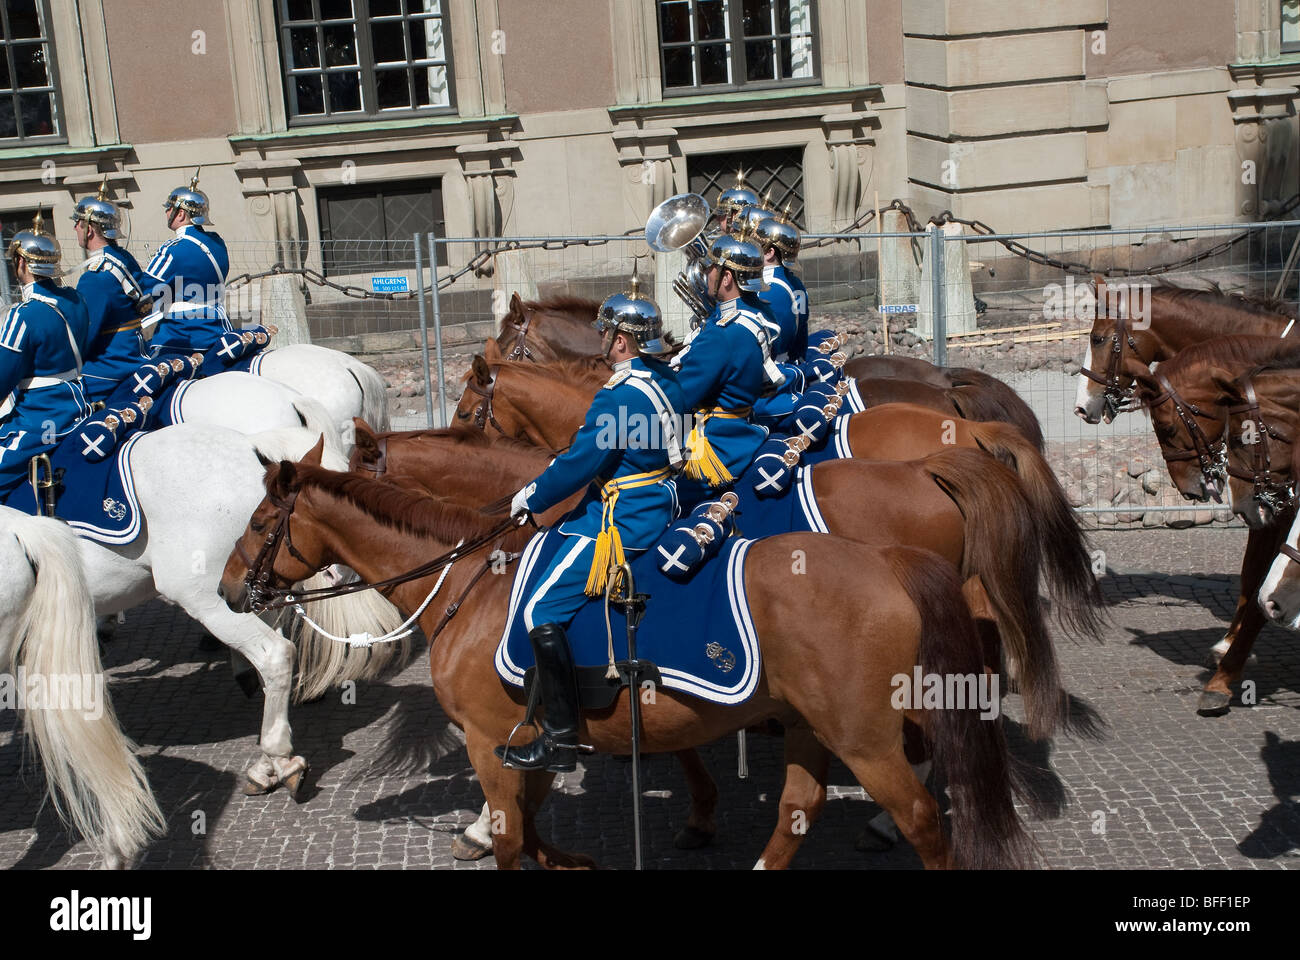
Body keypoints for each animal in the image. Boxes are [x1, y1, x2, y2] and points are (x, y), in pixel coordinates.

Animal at [226, 442, 1034, 868]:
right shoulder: (531, 743)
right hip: (815, 724)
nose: (231, 588)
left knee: (921, 815)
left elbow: (513, 836)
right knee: (798, 809)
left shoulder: (489, 742)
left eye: (262, 521)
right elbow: (535, 822)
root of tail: (885, 559)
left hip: (865, 737)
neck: (467, 583)